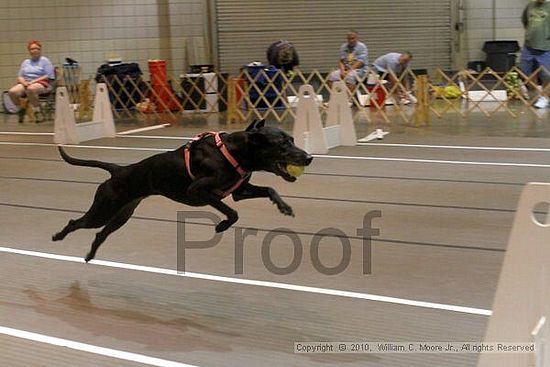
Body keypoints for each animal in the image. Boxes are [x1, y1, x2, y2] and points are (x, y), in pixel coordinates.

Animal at [53, 122, 312, 264]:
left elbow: (269, 189)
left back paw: (90, 255)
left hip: (121, 215)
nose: (309, 157)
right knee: (75, 222)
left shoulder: (239, 191)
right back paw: (58, 236)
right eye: (282, 145)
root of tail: (118, 170)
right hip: (103, 210)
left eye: (293, 139)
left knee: (100, 234)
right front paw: (221, 226)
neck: (234, 151)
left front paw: (284, 207)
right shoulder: (199, 190)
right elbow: (233, 213)